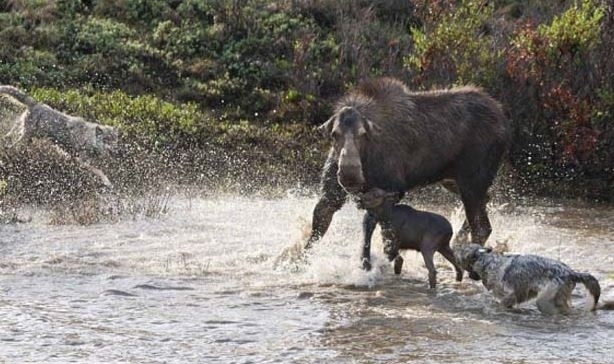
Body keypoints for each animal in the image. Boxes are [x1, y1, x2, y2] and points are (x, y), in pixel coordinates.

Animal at [460, 246, 604, 314]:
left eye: (468, 266)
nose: (469, 276)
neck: (489, 262)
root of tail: (571, 273)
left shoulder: (512, 295)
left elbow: (502, 304)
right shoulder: (524, 293)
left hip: (544, 301)